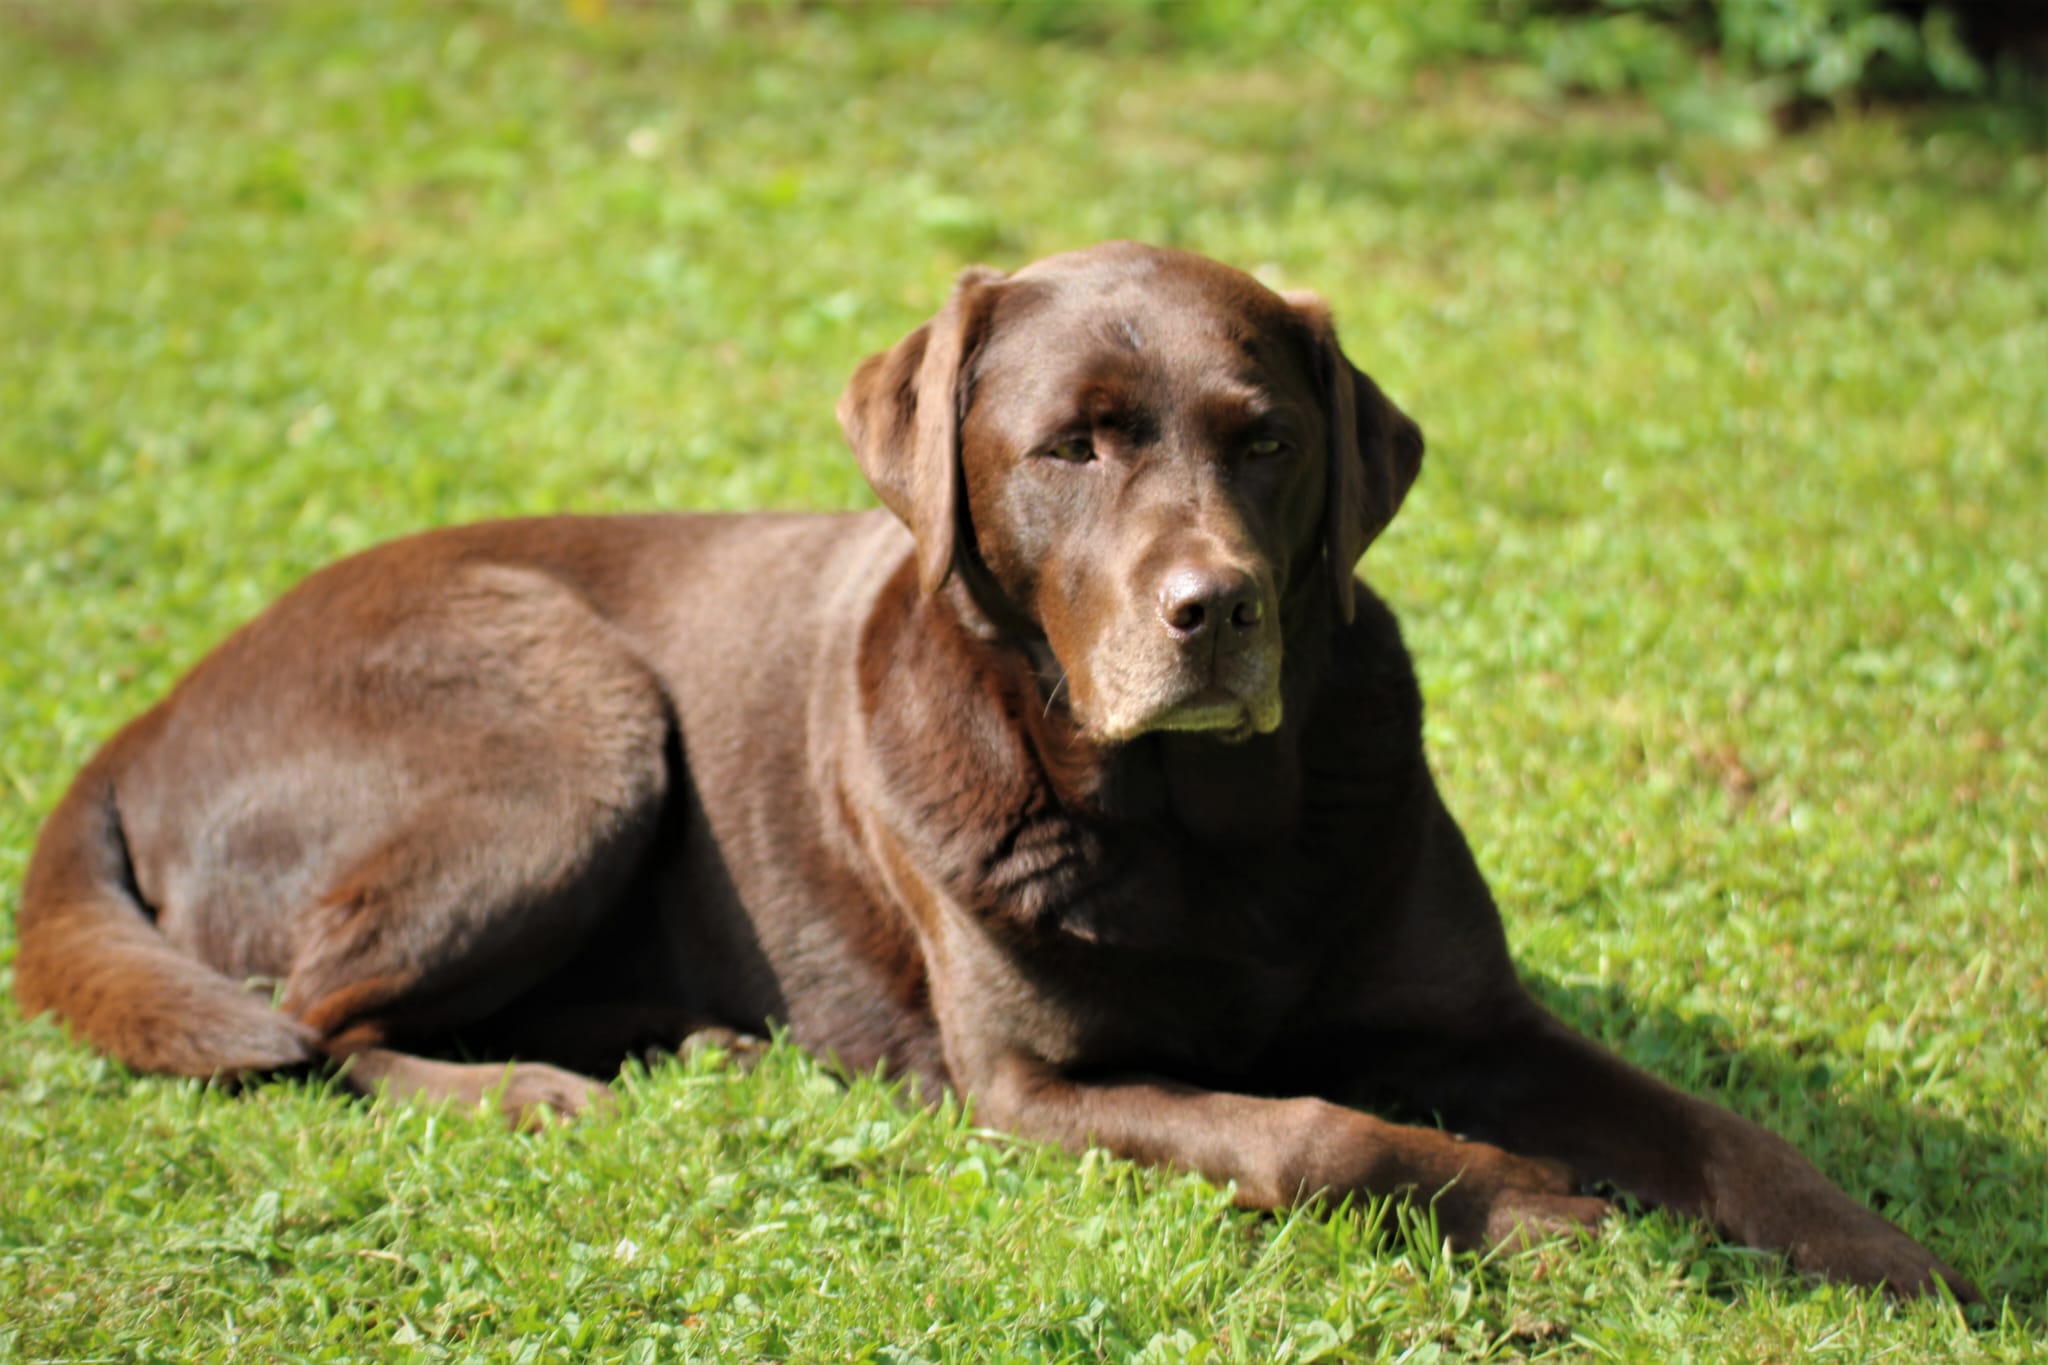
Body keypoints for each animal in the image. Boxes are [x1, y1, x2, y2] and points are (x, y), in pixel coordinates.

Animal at [12, 242, 1966, 1301]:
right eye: (1069, 449)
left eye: (1265, 441)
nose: (1216, 611)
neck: (1204, 836)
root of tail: (149, 711)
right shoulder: (1035, 1089)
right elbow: (1325, 1131)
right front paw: (1543, 1210)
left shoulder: (1477, 1021)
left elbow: (1716, 1128)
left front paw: (1894, 1259)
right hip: (571, 719)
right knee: (316, 1021)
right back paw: (535, 1096)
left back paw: (699, 1050)